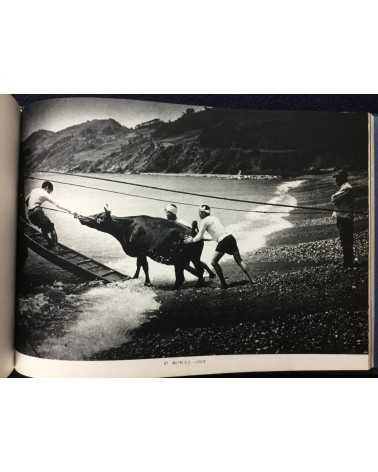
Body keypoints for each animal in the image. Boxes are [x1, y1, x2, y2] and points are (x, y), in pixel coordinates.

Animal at [77, 207, 207, 290]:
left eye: (100, 217)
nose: (81, 218)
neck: (126, 228)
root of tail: (193, 231)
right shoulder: (138, 253)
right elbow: (138, 265)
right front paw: (134, 277)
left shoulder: (141, 251)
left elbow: (144, 266)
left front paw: (147, 283)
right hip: (191, 257)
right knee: (194, 270)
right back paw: (191, 284)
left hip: (187, 258)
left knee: (194, 271)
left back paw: (192, 285)